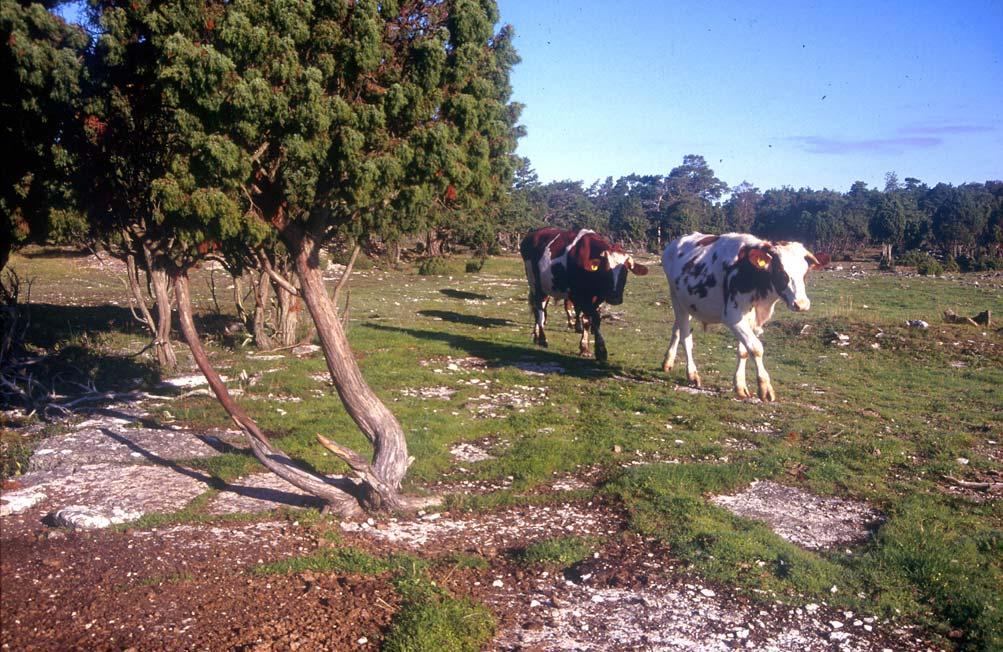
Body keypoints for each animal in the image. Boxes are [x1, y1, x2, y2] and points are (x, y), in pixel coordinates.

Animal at [517, 227, 649, 361]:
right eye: (605, 269)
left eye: (625, 271)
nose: (614, 298)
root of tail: (534, 233)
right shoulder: (579, 296)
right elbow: (591, 319)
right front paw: (599, 350)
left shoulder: (598, 298)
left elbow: (590, 320)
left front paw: (587, 347)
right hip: (535, 283)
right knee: (539, 310)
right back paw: (543, 339)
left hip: (545, 287)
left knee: (539, 309)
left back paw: (536, 336)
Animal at [661, 230, 826, 399]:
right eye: (781, 272)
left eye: (805, 273)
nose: (801, 304)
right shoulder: (733, 317)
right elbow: (756, 348)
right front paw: (765, 388)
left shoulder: (752, 320)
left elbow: (744, 351)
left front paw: (740, 386)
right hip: (676, 298)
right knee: (686, 338)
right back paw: (692, 374)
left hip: (686, 303)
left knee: (677, 330)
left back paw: (668, 362)